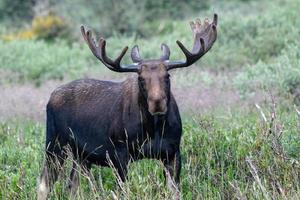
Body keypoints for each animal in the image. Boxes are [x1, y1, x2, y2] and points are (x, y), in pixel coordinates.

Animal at [37, 13, 218, 199]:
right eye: (141, 78)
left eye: (167, 76)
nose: (157, 103)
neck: (153, 128)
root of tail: (51, 97)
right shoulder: (120, 154)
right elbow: (123, 191)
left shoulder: (173, 152)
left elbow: (175, 192)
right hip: (54, 144)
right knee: (44, 183)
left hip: (82, 155)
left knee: (73, 186)